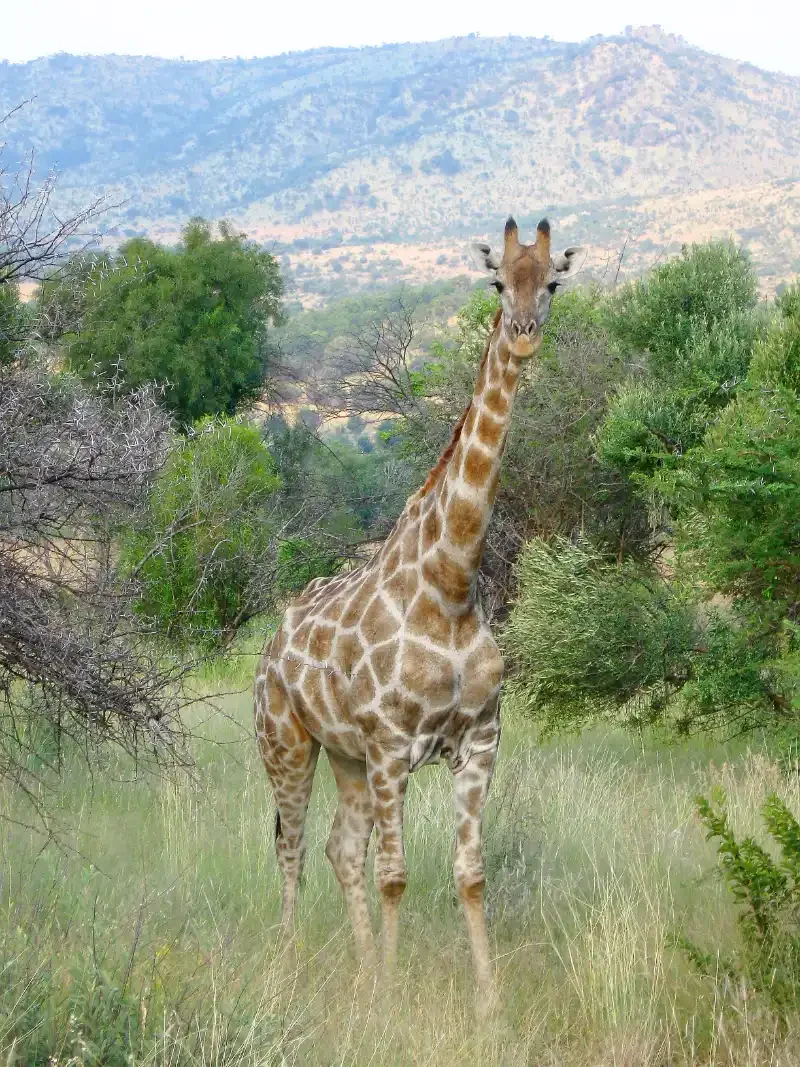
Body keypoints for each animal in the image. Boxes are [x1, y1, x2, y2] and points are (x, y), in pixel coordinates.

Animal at [254, 216, 586, 1001]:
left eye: (552, 283)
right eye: (497, 279)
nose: (523, 333)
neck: (451, 583)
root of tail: (268, 648)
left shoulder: (480, 743)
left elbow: (470, 875)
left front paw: (487, 1000)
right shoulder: (391, 747)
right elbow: (397, 876)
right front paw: (392, 997)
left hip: (343, 754)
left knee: (340, 848)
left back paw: (360, 968)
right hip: (287, 742)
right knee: (292, 846)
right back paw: (289, 958)